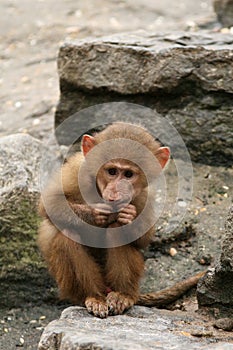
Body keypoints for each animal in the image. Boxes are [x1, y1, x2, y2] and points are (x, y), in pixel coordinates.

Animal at [38, 121, 206, 318]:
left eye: (128, 175)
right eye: (112, 171)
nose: (116, 192)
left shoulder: (143, 195)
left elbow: (142, 239)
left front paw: (129, 216)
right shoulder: (76, 169)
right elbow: (49, 203)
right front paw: (95, 213)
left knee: (116, 231)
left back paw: (122, 295)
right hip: (70, 287)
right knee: (68, 236)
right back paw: (94, 296)